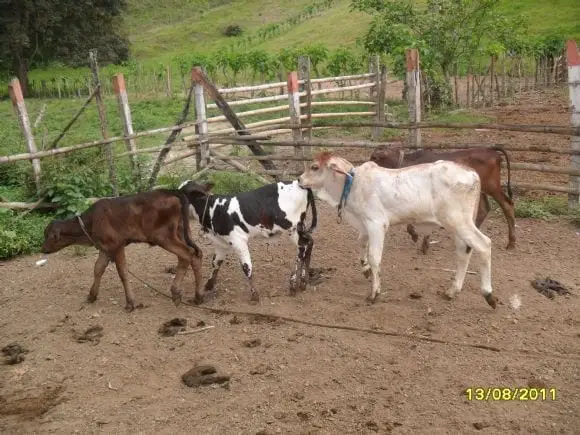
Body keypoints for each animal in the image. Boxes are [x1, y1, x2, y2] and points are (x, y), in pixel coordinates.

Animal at [41, 190, 204, 310]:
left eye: (48, 236)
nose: (42, 249)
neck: (91, 222)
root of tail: (171, 191)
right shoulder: (106, 248)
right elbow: (98, 268)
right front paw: (92, 296)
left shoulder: (116, 245)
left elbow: (122, 272)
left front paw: (130, 302)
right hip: (180, 232)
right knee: (195, 254)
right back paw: (197, 296)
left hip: (162, 236)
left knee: (188, 254)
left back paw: (177, 293)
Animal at [180, 180, 320, 304]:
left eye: (181, 193)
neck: (213, 209)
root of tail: (299, 183)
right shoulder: (221, 243)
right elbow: (215, 263)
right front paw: (207, 287)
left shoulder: (238, 240)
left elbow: (246, 266)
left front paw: (254, 296)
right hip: (299, 230)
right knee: (310, 243)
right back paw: (303, 282)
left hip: (293, 228)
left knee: (302, 247)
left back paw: (293, 285)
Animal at [300, 152, 498, 308]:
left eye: (315, 167)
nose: (299, 179)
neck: (352, 184)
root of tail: (471, 172)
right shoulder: (365, 224)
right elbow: (361, 243)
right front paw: (365, 269)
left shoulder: (376, 223)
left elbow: (375, 257)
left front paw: (374, 293)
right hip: (458, 225)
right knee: (464, 251)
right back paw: (451, 291)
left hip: (459, 222)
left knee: (484, 245)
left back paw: (488, 294)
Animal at [370, 146, 516, 255]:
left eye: (374, 157)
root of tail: (491, 150)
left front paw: (418, 238)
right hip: (480, 191)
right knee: (483, 209)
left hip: (492, 187)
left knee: (507, 205)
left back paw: (511, 243)